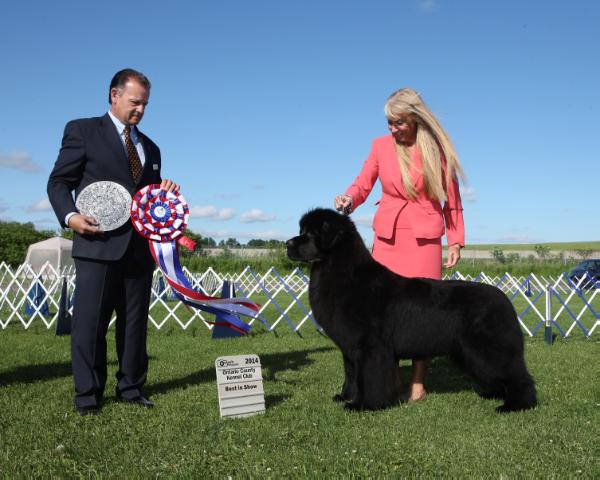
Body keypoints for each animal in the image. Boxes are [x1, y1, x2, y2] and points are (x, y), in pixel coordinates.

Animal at [284, 208, 536, 414]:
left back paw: (516, 405)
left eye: (310, 233)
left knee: (518, 376)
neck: (346, 275)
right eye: (301, 230)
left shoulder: (371, 347)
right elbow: (351, 375)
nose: (287, 243)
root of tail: (504, 298)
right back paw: (494, 394)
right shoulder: (350, 348)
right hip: (469, 352)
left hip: (488, 349)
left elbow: (369, 377)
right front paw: (346, 397)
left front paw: (364, 405)